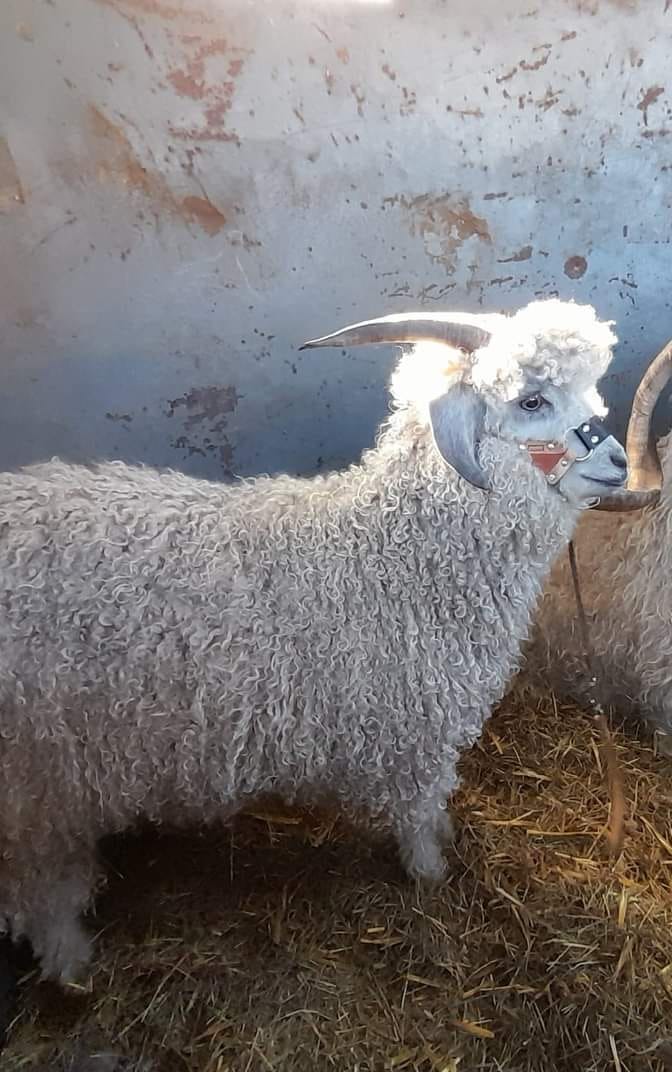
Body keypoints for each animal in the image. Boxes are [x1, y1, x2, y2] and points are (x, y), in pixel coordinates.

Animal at [1, 298, 630, 981]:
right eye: (531, 401)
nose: (620, 462)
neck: (392, 557)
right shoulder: (415, 734)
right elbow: (418, 811)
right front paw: (432, 872)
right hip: (41, 780)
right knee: (43, 889)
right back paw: (73, 966)